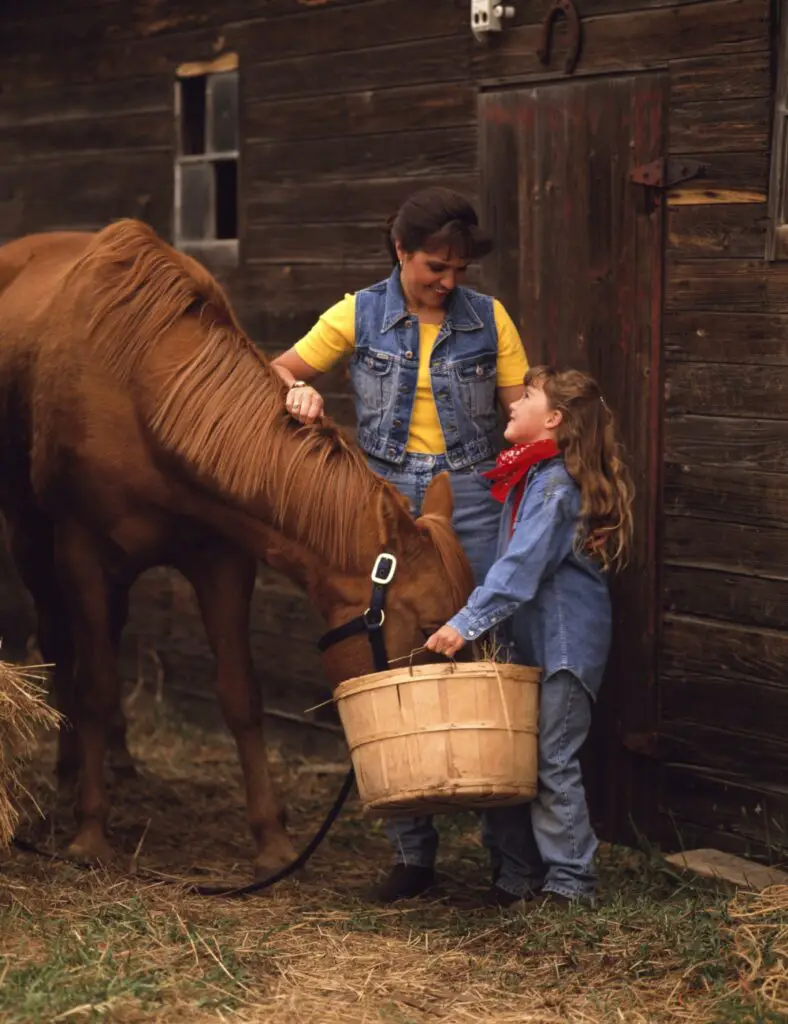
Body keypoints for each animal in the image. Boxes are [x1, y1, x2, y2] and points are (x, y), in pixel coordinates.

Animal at [0, 218, 470, 872]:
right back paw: (72, 772)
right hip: (32, 537)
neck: (142, 391)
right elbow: (93, 684)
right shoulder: (81, 549)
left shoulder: (224, 558)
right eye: (427, 626)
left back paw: (118, 760)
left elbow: (241, 694)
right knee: (61, 645)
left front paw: (271, 839)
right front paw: (90, 831)